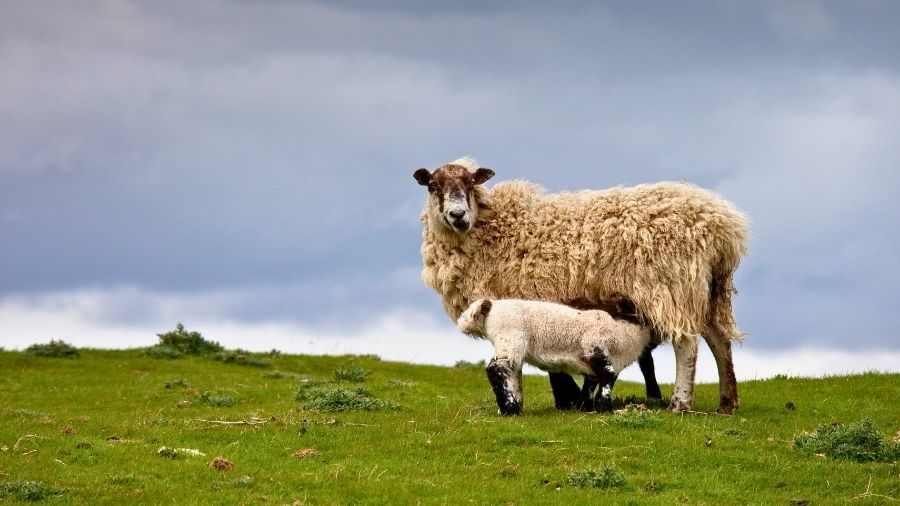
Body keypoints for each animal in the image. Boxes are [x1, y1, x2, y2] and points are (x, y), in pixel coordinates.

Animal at [458, 297, 653, 415]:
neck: (624, 330)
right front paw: (604, 408)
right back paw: (510, 408)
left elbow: (590, 383)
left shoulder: (592, 362)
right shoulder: (595, 347)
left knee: (510, 373)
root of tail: (492, 305)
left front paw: (584, 407)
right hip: (511, 339)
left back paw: (511, 408)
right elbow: (607, 376)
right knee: (495, 368)